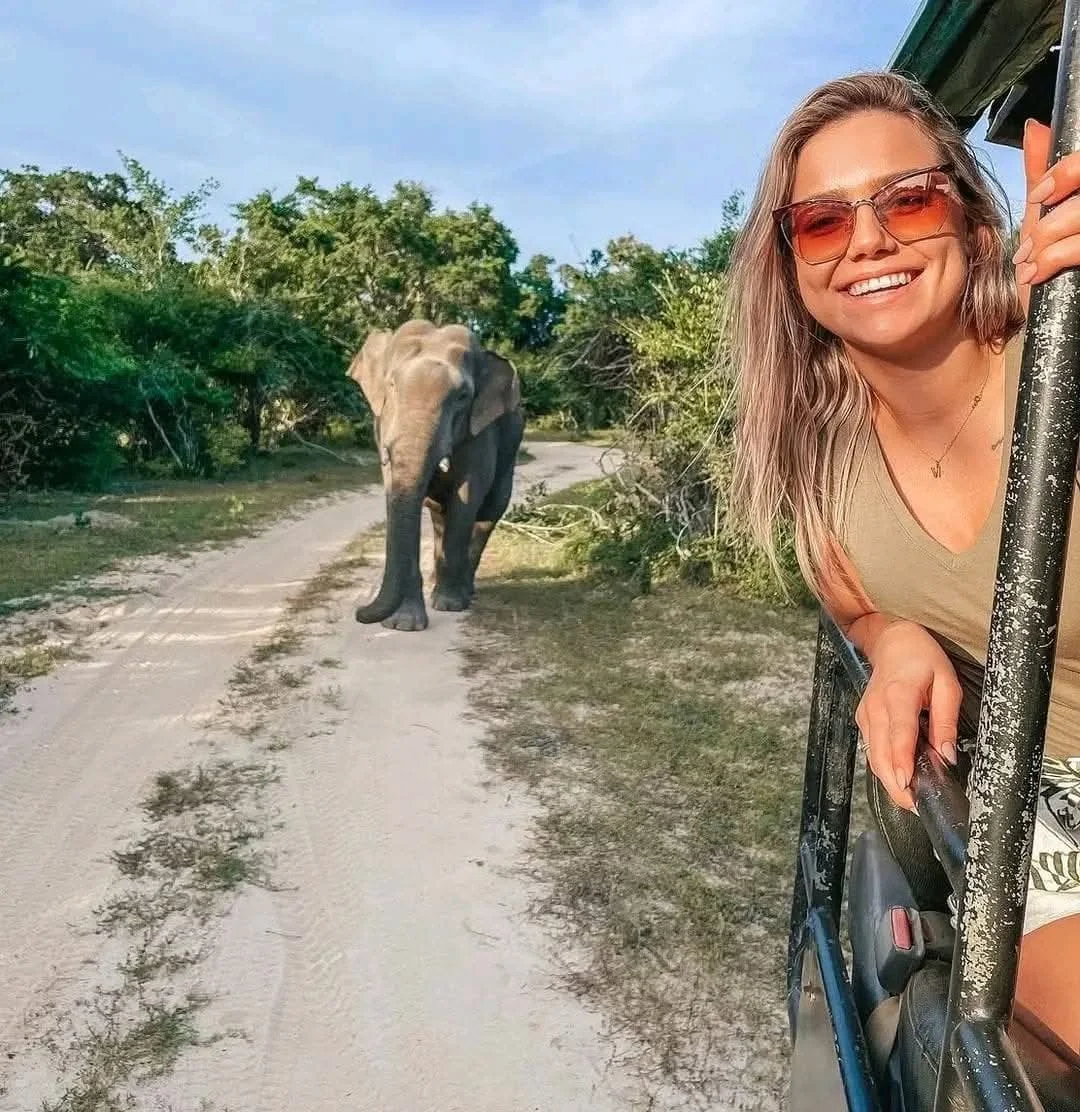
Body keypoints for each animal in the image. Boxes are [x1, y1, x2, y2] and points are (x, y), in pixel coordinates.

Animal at [348, 319, 525, 631]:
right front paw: (403, 625)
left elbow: (467, 496)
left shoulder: (480, 433)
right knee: (439, 513)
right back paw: (435, 583)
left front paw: (448, 605)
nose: (359, 612)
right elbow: (396, 491)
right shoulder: (381, 426)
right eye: (391, 385)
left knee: (488, 512)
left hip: (510, 453)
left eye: (463, 397)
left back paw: (461, 592)